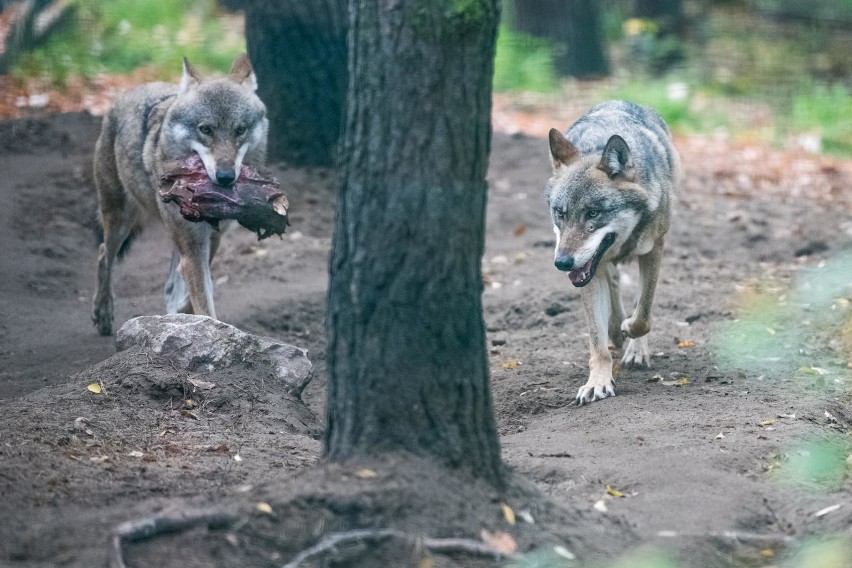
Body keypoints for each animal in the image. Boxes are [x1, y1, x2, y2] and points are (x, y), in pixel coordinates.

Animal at [91, 53, 268, 336]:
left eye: (240, 130)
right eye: (205, 129)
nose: (226, 176)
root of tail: (131, 90)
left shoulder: (211, 239)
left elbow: (190, 294)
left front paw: (183, 319)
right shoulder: (194, 246)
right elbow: (202, 301)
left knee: (168, 280)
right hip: (120, 221)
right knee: (103, 255)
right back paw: (103, 312)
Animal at [548, 100, 684, 406]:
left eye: (593, 213)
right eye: (560, 213)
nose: (562, 263)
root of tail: (620, 101)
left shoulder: (654, 249)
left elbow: (643, 314)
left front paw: (630, 332)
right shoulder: (589, 270)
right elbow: (597, 341)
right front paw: (597, 383)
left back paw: (631, 344)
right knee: (614, 284)